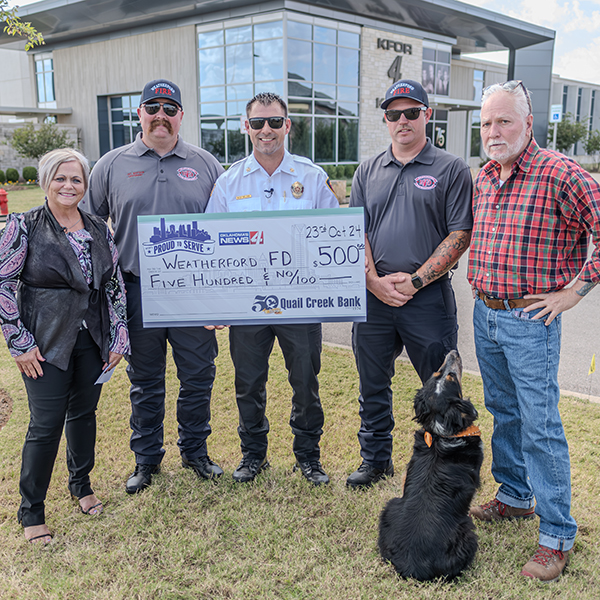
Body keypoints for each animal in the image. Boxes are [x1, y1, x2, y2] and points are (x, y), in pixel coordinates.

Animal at [380, 352, 482, 580]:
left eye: (438, 372)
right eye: (450, 376)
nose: (453, 352)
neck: (441, 432)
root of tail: (413, 566)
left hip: (389, 506)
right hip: (467, 533)